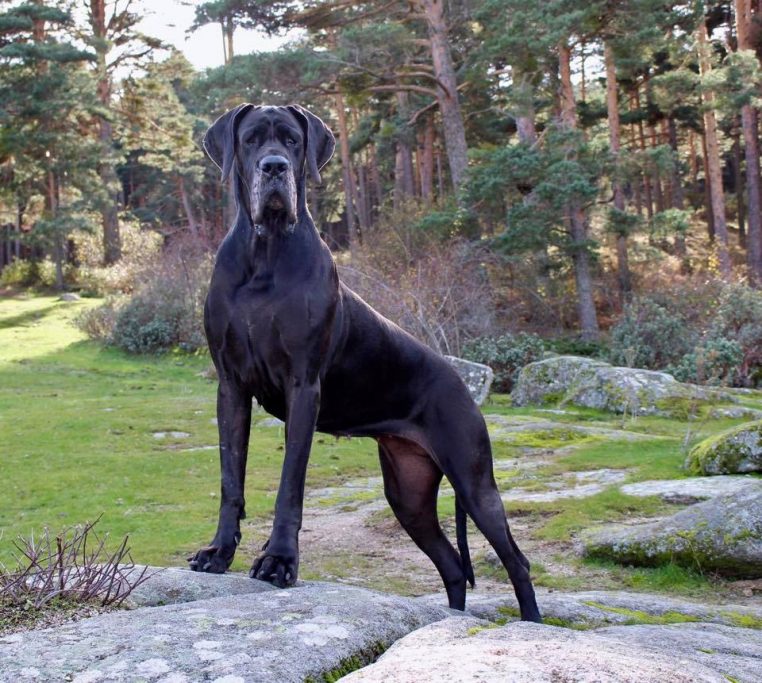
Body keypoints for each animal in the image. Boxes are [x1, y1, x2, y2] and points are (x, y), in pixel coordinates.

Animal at [186, 104, 536, 624]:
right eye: (250, 140)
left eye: (292, 141)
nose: (275, 167)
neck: (265, 253)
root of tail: (461, 378)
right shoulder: (231, 386)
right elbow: (231, 478)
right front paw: (219, 552)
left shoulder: (303, 386)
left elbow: (290, 483)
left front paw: (279, 560)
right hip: (409, 493)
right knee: (452, 564)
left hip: (475, 482)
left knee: (516, 561)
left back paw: (532, 624)